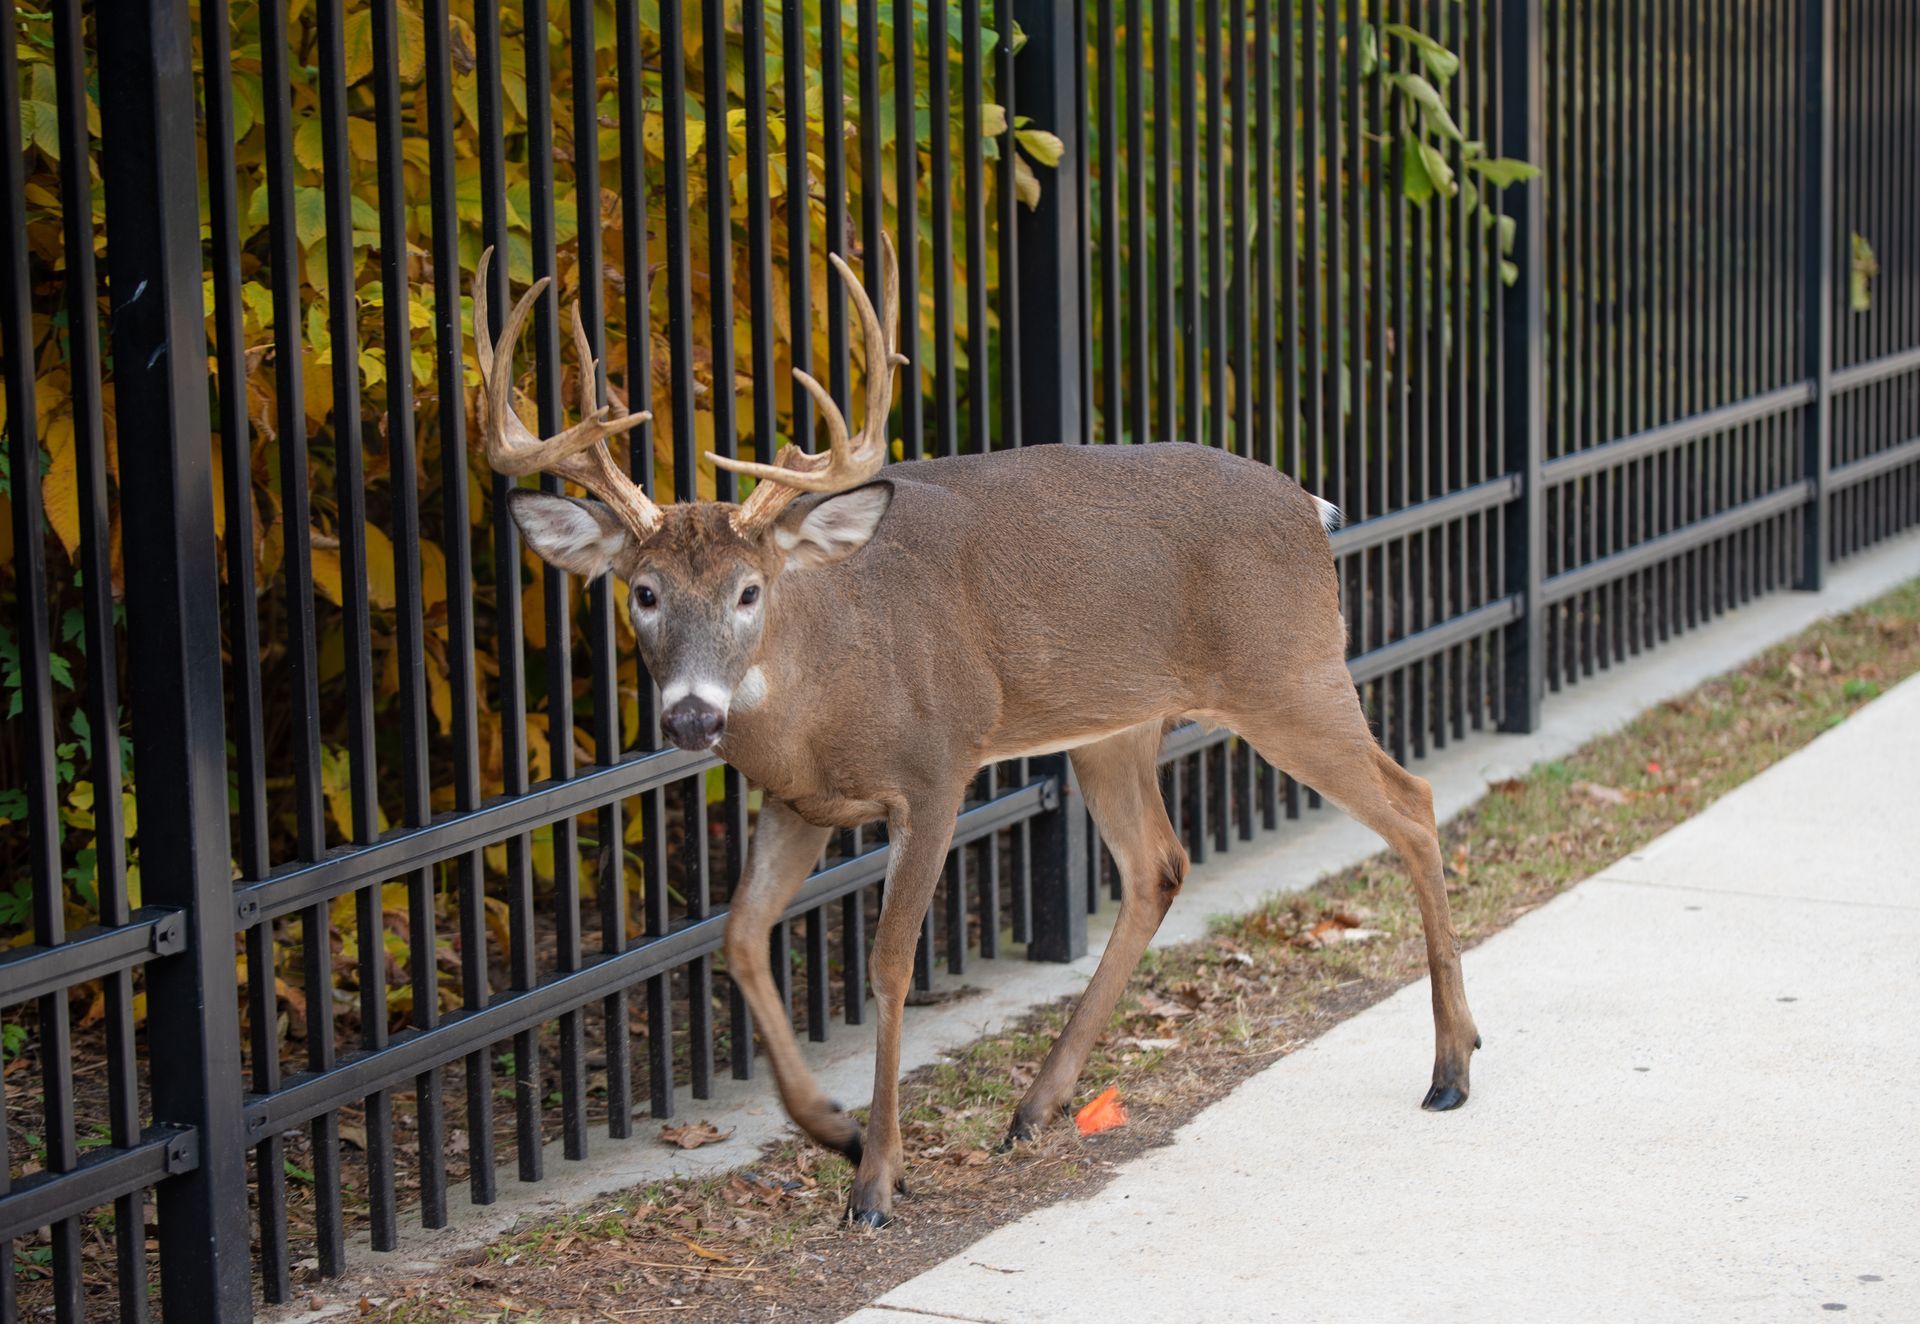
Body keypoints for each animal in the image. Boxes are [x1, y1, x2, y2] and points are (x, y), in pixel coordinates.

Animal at [471, 235, 1479, 1228]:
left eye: (748, 591)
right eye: (643, 593)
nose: (691, 714)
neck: (822, 686)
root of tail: (1313, 508)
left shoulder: (936, 768)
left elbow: (888, 963)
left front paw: (876, 1179)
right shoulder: (795, 800)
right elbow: (741, 937)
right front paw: (832, 1129)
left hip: (1290, 673)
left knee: (1412, 800)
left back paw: (1452, 1067)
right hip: (1115, 726)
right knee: (1158, 861)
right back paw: (1037, 1105)